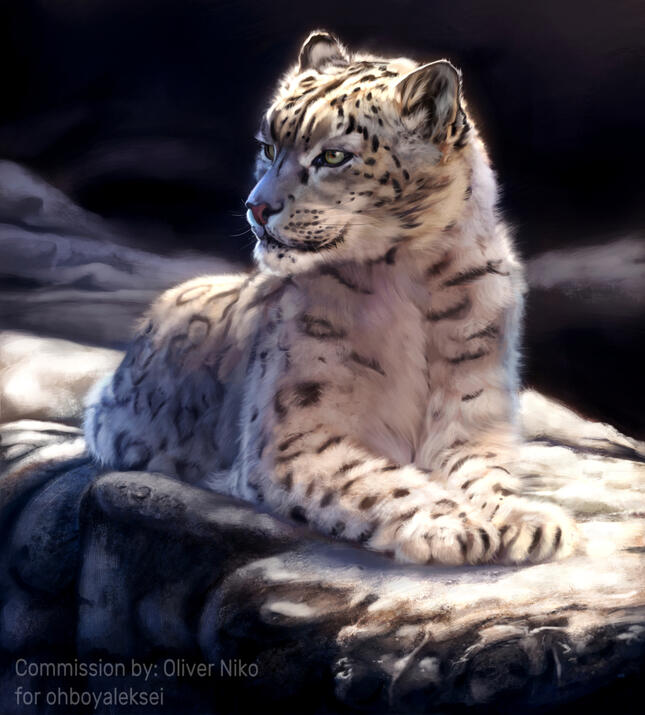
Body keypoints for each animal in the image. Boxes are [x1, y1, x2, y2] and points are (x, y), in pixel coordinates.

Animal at [84, 30, 579, 565]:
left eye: (335, 157)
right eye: (268, 147)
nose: (256, 207)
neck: (412, 281)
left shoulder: (473, 411)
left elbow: (485, 472)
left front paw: (525, 519)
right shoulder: (296, 438)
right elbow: (376, 481)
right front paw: (453, 525)